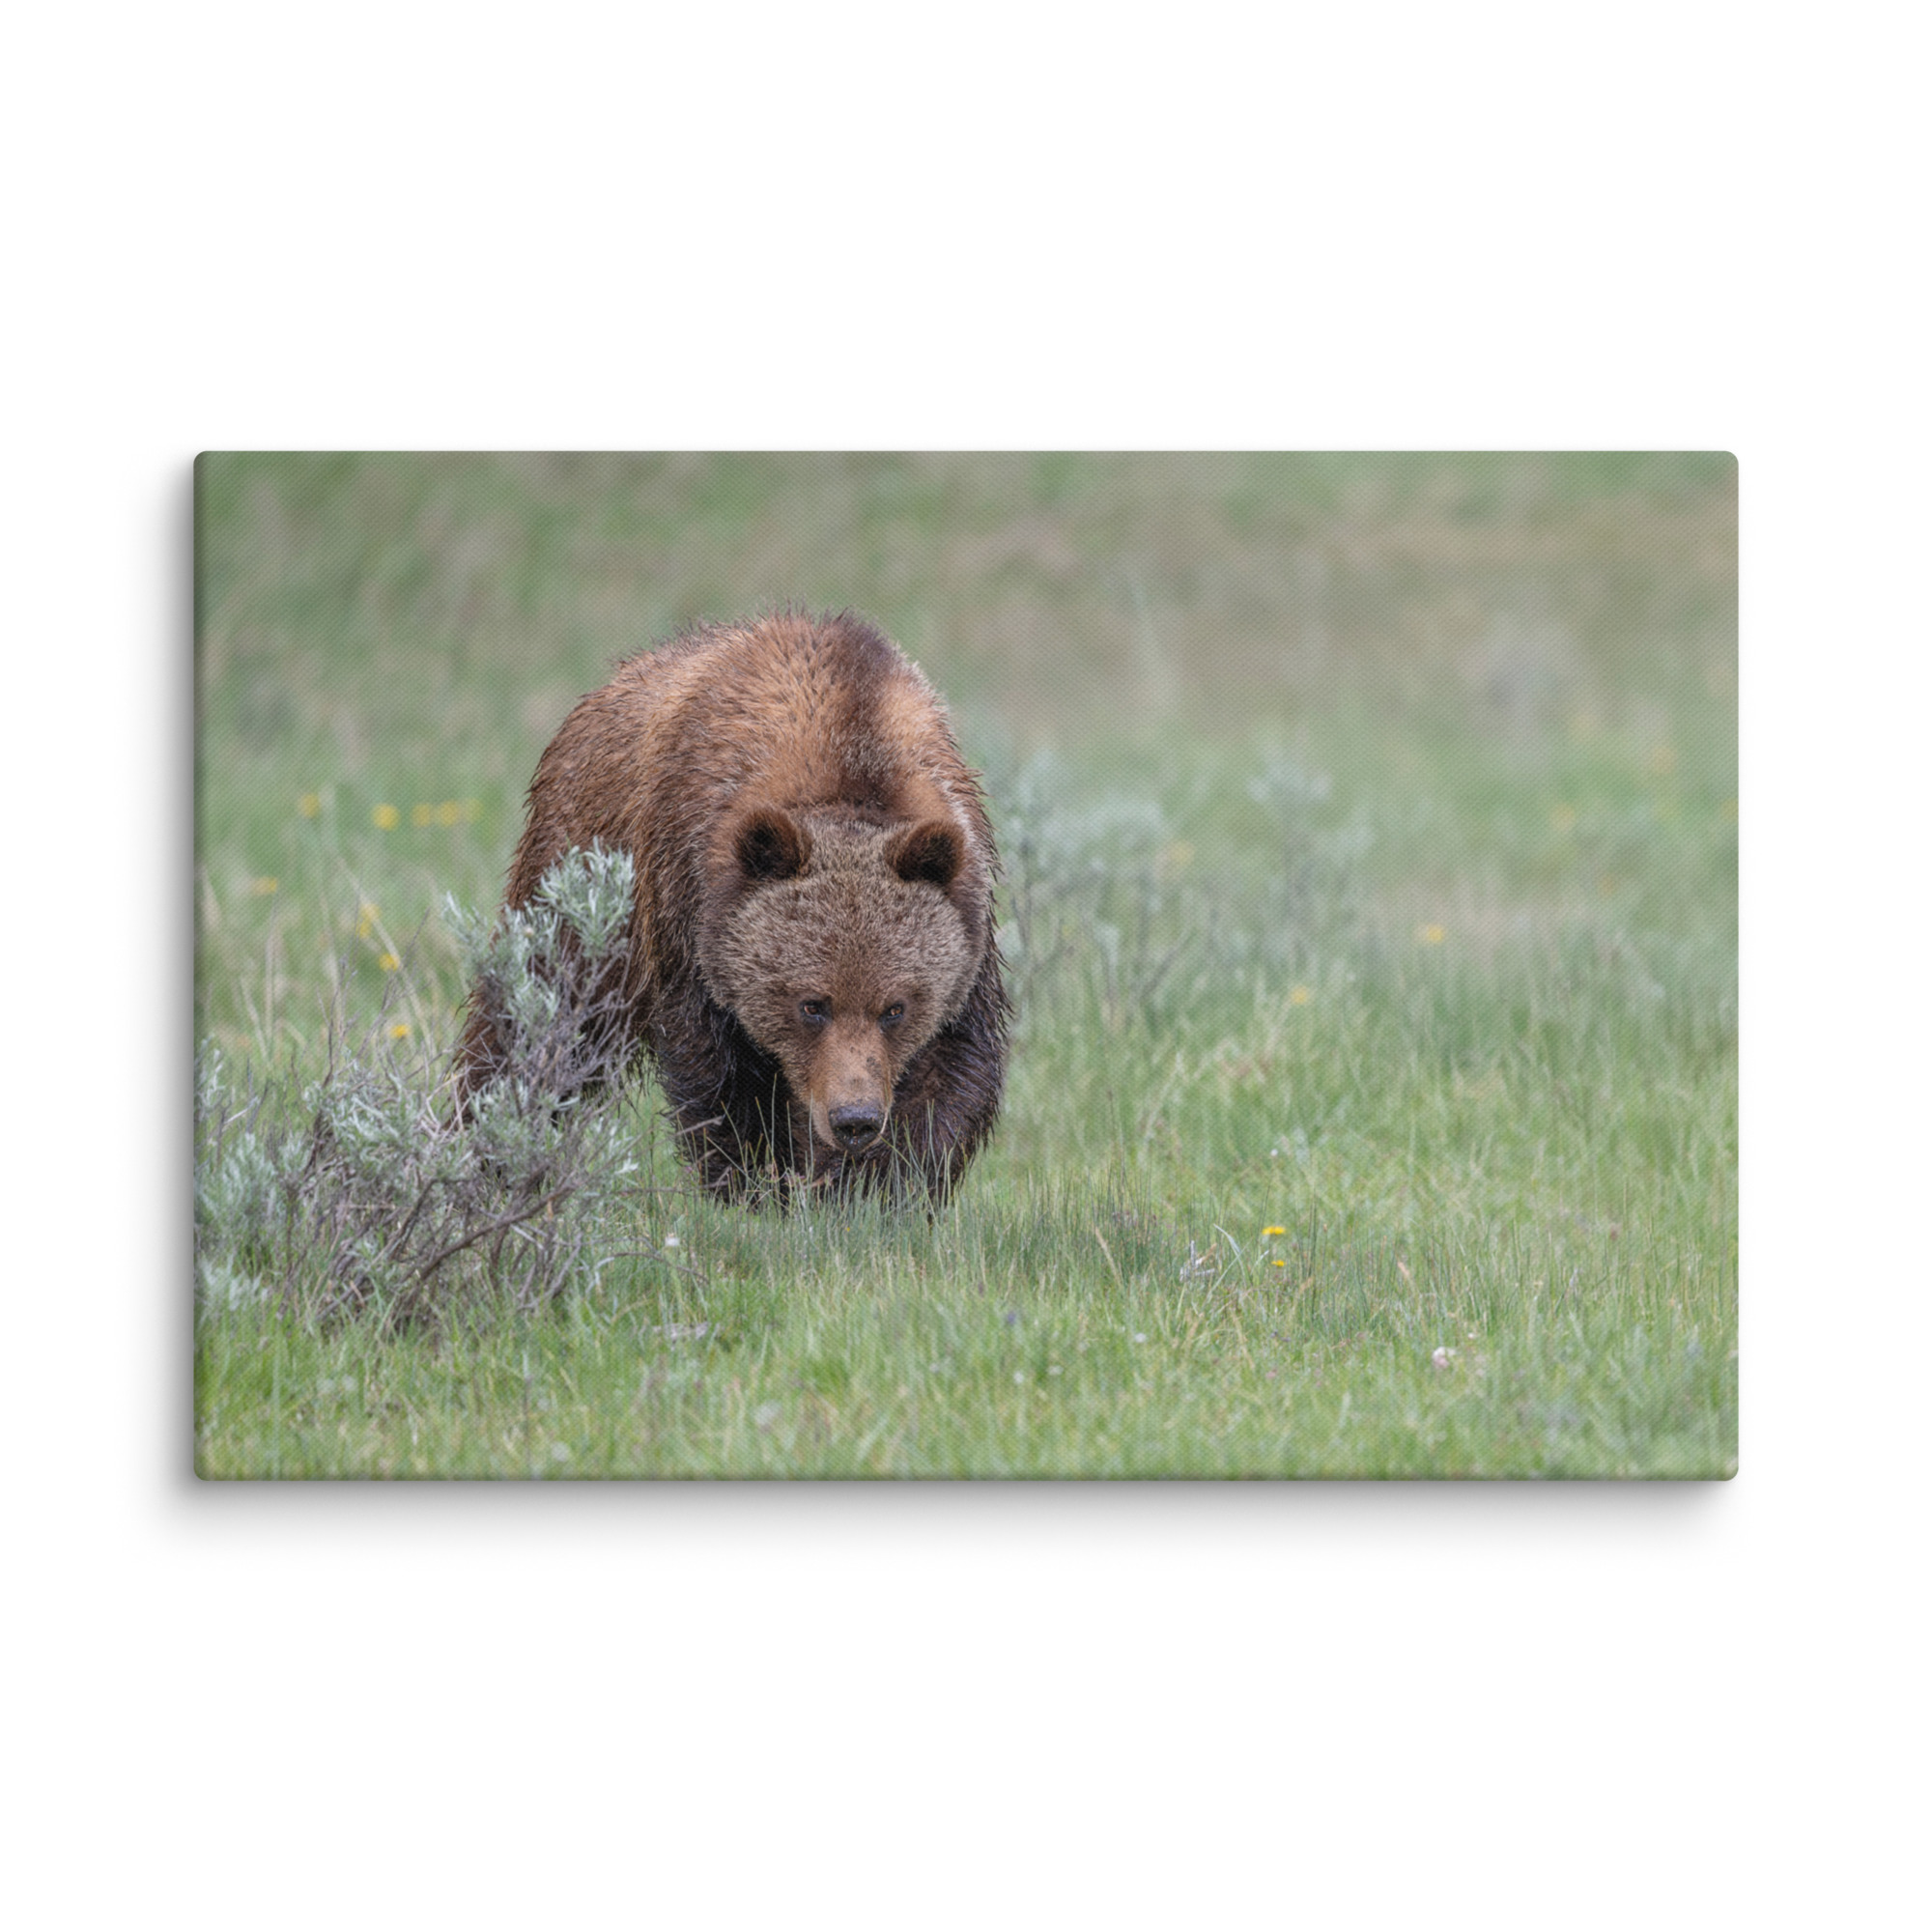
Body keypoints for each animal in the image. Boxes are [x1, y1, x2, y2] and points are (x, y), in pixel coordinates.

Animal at [456, 610, 1010, 1205]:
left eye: (895, 1008)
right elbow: (721, 1077)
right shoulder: (689, 907)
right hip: (580, 876)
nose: (854, 1119)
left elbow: (949, 1073)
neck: (850, 754)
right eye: (811, 1004)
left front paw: (874, 1189)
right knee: (538, 1016)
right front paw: (756, 1185)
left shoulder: (967, 923)